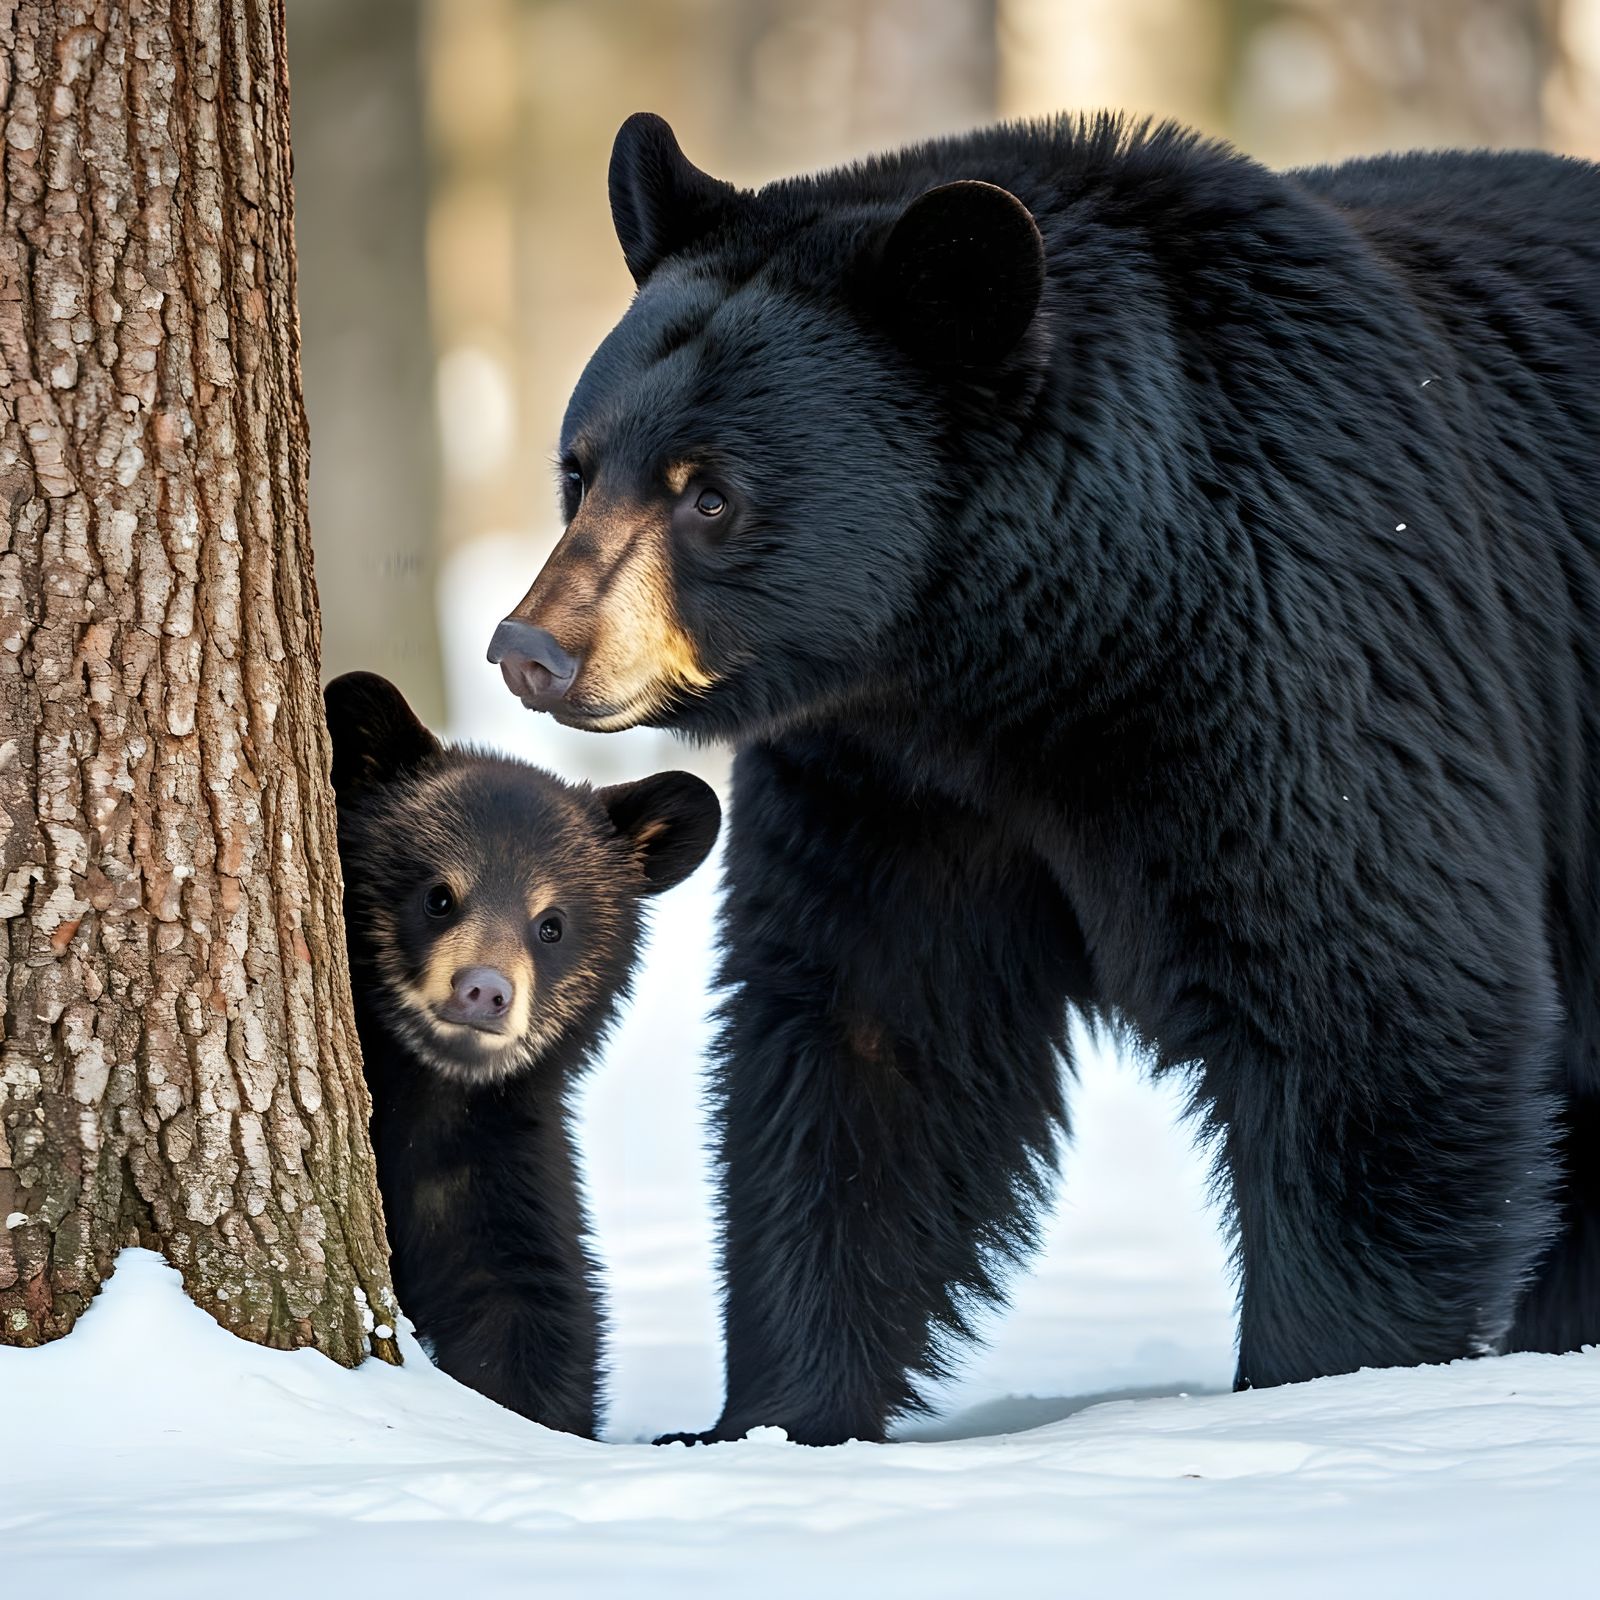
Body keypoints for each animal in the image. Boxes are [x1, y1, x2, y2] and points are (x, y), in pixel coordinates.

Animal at [324, 670, 720, 1435]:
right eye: (438, 897)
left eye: (552, 924)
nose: (484, 991)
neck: (423, 1096)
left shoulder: (501, 1169)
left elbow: (529, 1314)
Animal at [486, 112, 1600, 1445]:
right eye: (579, 468)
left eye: (709, 492)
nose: (532, 649)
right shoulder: (891, 778)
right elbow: (866, 1039)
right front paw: (768, 1415)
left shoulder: (1310, 634)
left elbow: (1370, 994)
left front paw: (1317, 1381)